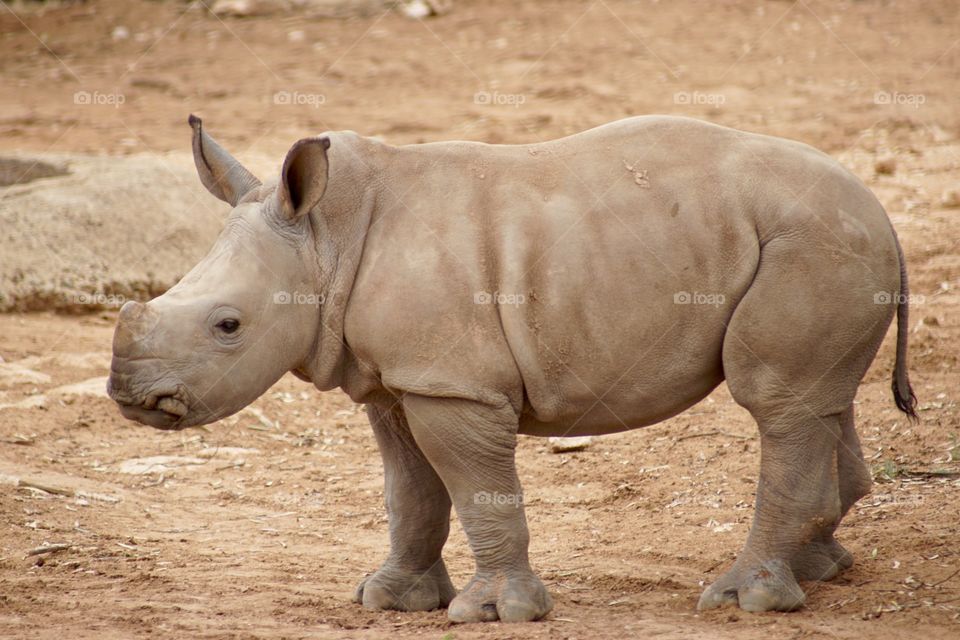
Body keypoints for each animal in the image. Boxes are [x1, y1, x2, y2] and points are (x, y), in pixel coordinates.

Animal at [108, 114, 917, 622]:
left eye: (228, 326)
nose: (127, 394)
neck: (325, 239)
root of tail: (883, 211)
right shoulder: (402, 381)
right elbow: (411, 493)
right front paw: (389, 599)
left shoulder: (454, 385)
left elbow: (478, 492)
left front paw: (492, 611)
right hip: (818, 241)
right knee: (818, 401)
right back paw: (817, 573)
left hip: (811, 241)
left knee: (775, 401)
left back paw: (741, 600)